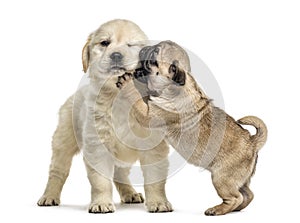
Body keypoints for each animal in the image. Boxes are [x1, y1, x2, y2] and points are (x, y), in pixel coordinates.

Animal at [115, 40, 268, 216]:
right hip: (239, 179)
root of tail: (252, 142)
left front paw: (127, 84)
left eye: (154, 56)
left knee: (235, 197)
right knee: (248, 194)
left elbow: (137, 99)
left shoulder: (149, 115)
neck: (174, 88)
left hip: (221, 179)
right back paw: (236, 209)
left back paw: (218, 210)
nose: (144, 48)